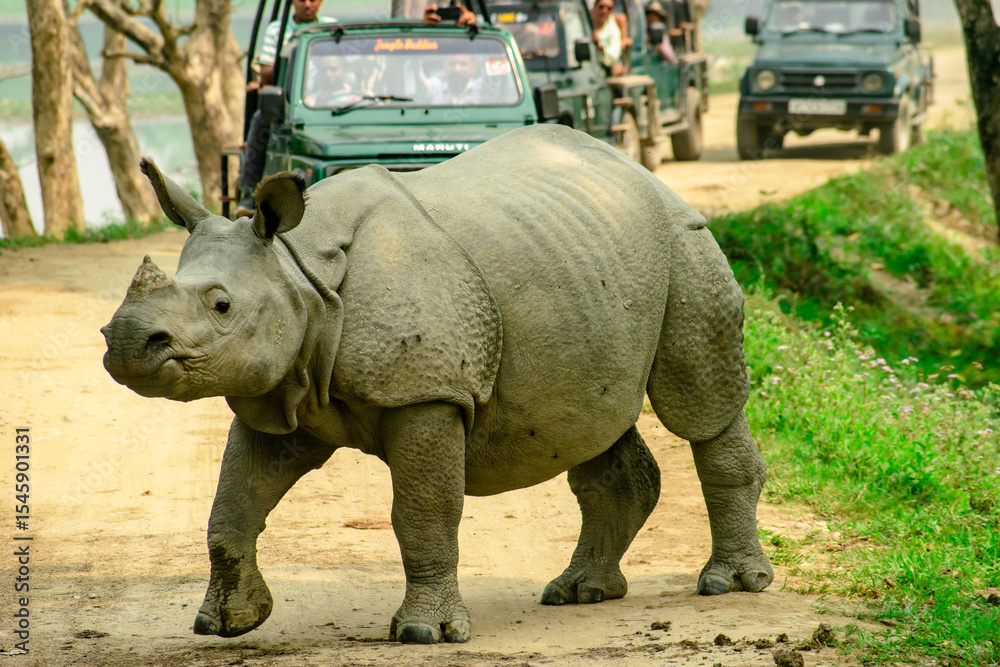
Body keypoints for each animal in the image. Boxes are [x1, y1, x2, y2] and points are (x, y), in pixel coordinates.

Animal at [102, 124, 772, 644]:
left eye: (221, 305)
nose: (126, 341)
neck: (297, 273)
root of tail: (638, 171)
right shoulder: (279, 393)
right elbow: (232, 506)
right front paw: (226, 623)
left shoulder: (426, 393)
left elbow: (423, 511)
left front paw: (425, 632)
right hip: (585, 259)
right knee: (591, 422)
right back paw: (580, 592)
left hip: (683, 239)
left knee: (697, 404)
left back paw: (729, 585)